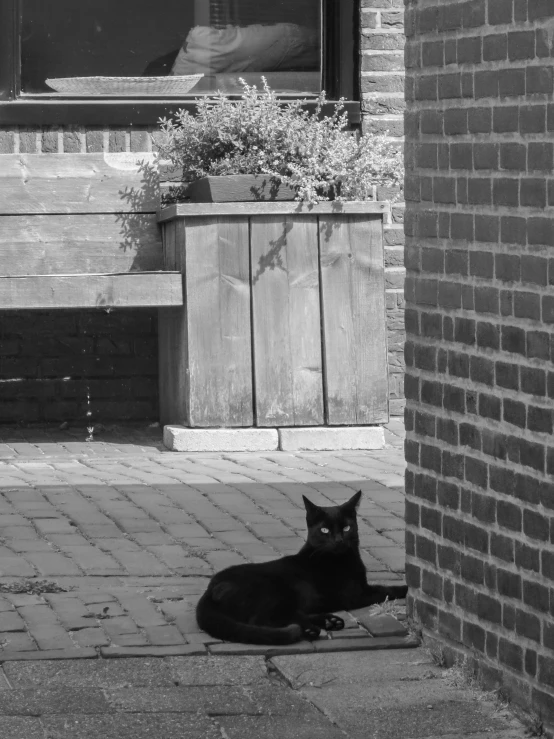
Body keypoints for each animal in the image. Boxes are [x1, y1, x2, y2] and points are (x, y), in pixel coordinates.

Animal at [194, 494, 406, 644]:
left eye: (346, 528)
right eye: (324, 530)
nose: (339, 540)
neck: (341, 558)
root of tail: (210, 588)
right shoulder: (356, 594)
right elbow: (386, 589)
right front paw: (407, 589)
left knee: (295, 613)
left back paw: (329, 621)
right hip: (274, 592)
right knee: (262, 619)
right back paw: (309, 629)